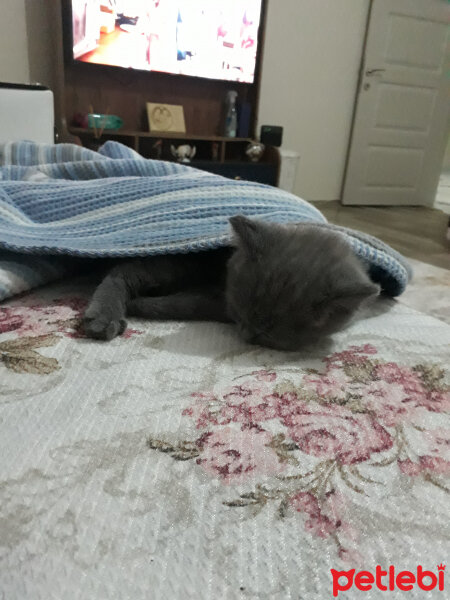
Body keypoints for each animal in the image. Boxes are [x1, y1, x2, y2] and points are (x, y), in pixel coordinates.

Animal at [82, 216, 378, 350]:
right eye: (241, 311)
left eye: (268, 333)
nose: (247, 335)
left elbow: (188, 303)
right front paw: (138, 304)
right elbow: (186, 304)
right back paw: (104, 317)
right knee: (122, 271)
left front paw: (140, 304)